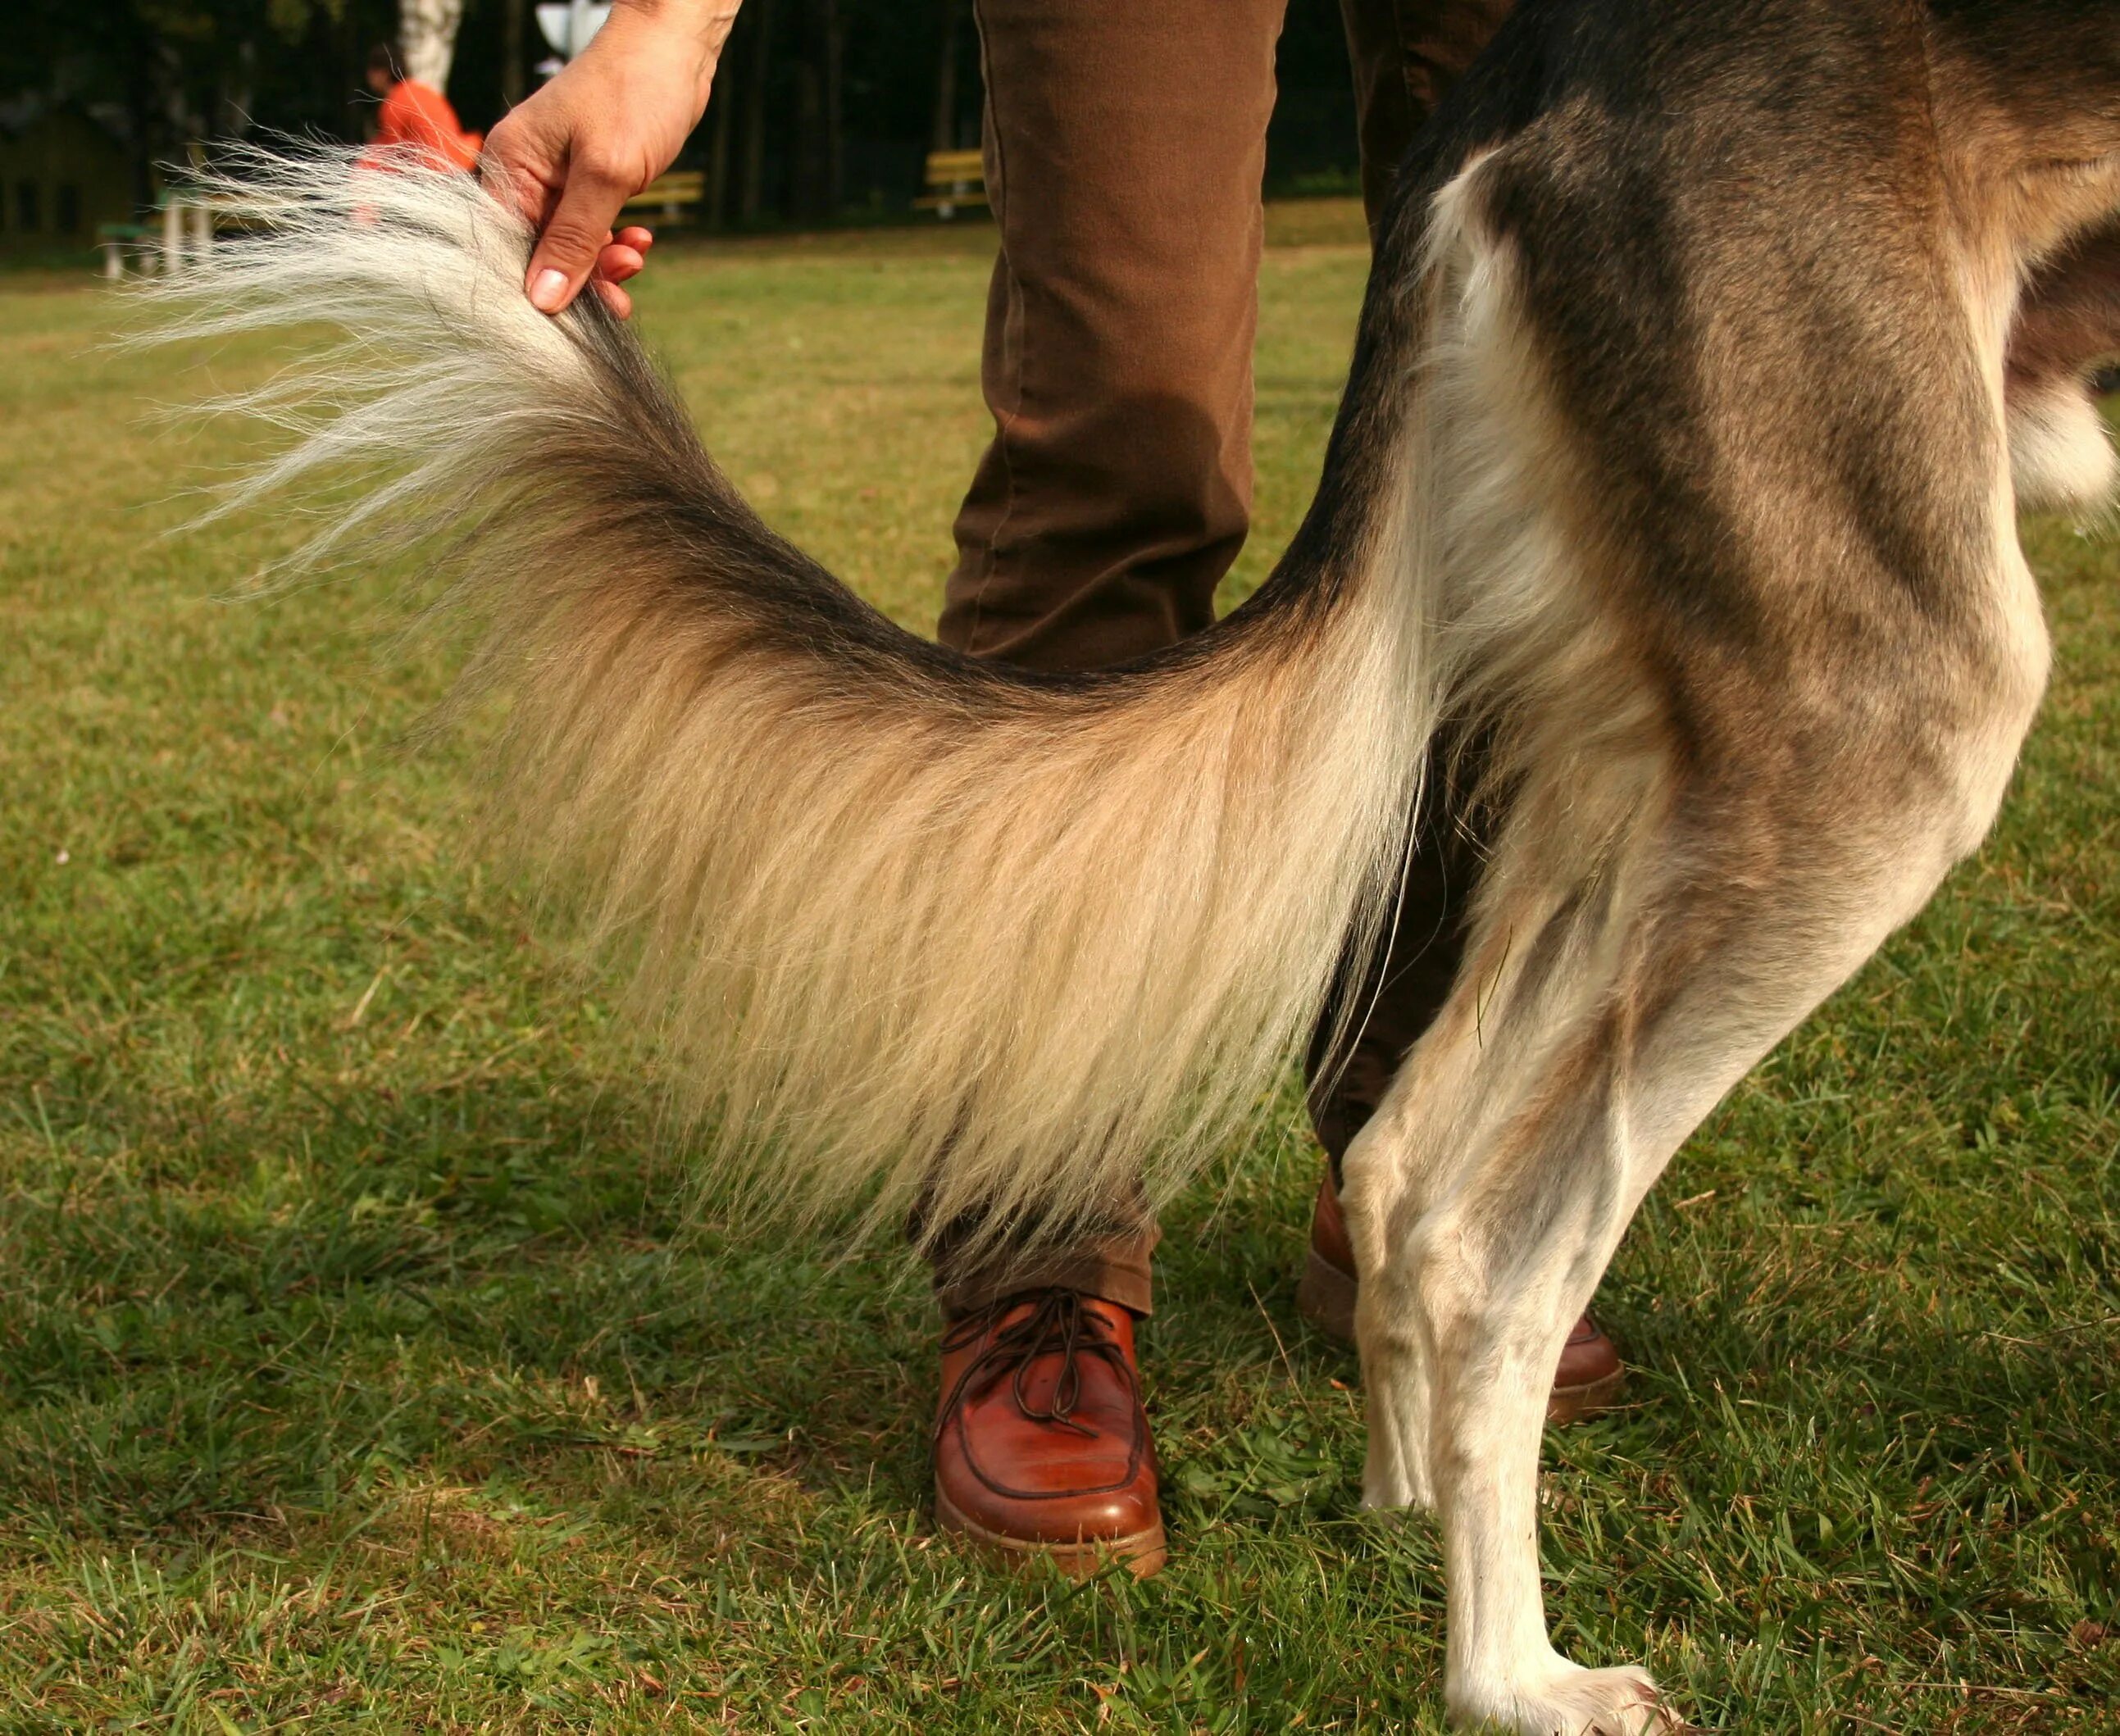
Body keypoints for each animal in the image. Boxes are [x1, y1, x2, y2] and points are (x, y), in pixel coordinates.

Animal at [157, 7, 2120, 1729]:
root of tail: (1539, 61)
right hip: (1879, 716)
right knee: (1489, 1235)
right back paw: (1512, 1674)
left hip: (1627, 734)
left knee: (1400, 1159)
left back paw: (1401, 1509)